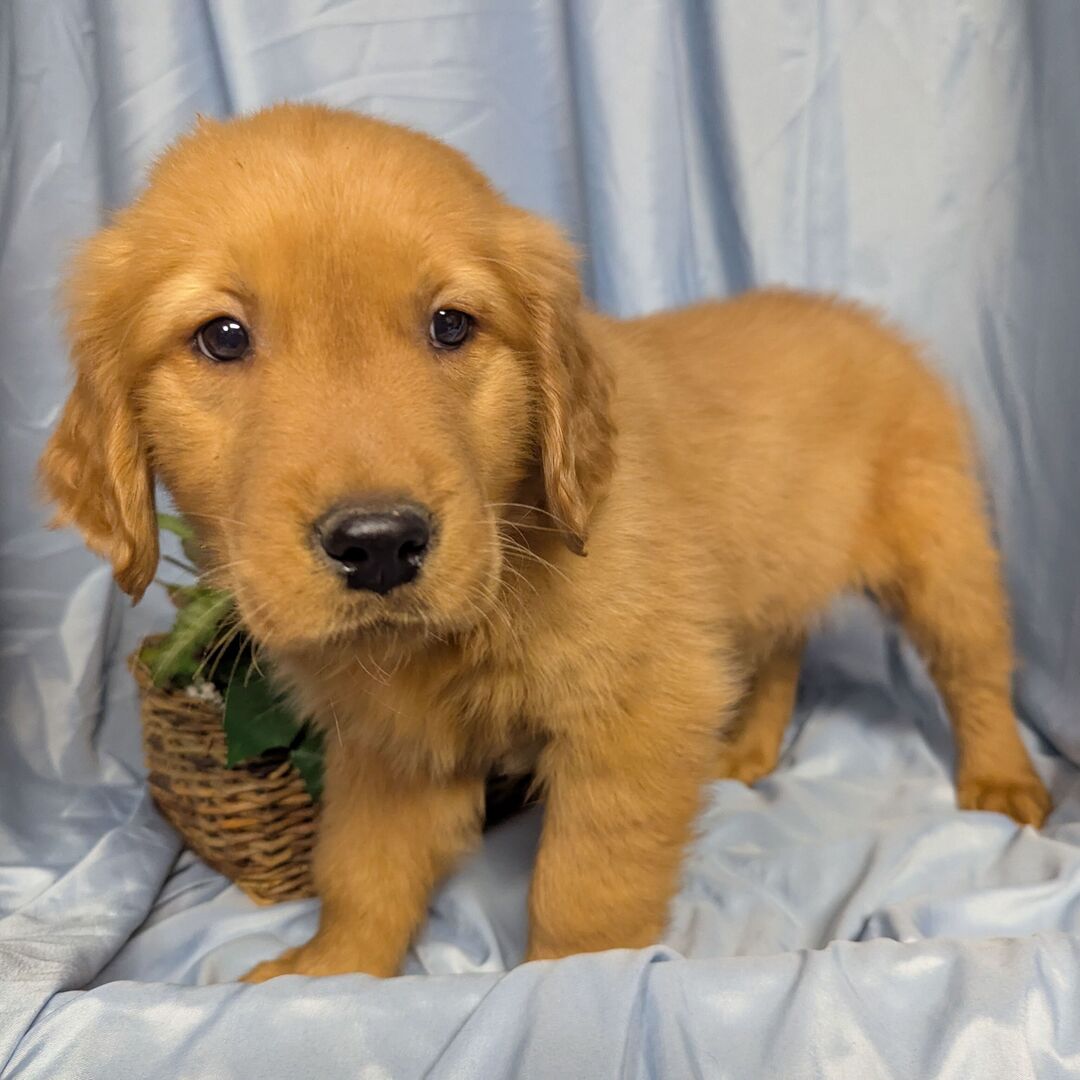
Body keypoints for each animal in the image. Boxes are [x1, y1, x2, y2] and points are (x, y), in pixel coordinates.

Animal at [39, 104, 1051, 980]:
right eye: (222, 337)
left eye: (451, 325)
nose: (380, 543)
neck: (507, 565)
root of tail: (867, 322)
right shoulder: (388, 746)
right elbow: (361, 865)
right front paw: (330, 971)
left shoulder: (641, 710)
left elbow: (584, 885)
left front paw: (569, 989)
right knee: (778, 647)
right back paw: (747, 750)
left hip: (943, 554)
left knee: (974, 668)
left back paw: (1003, 780)